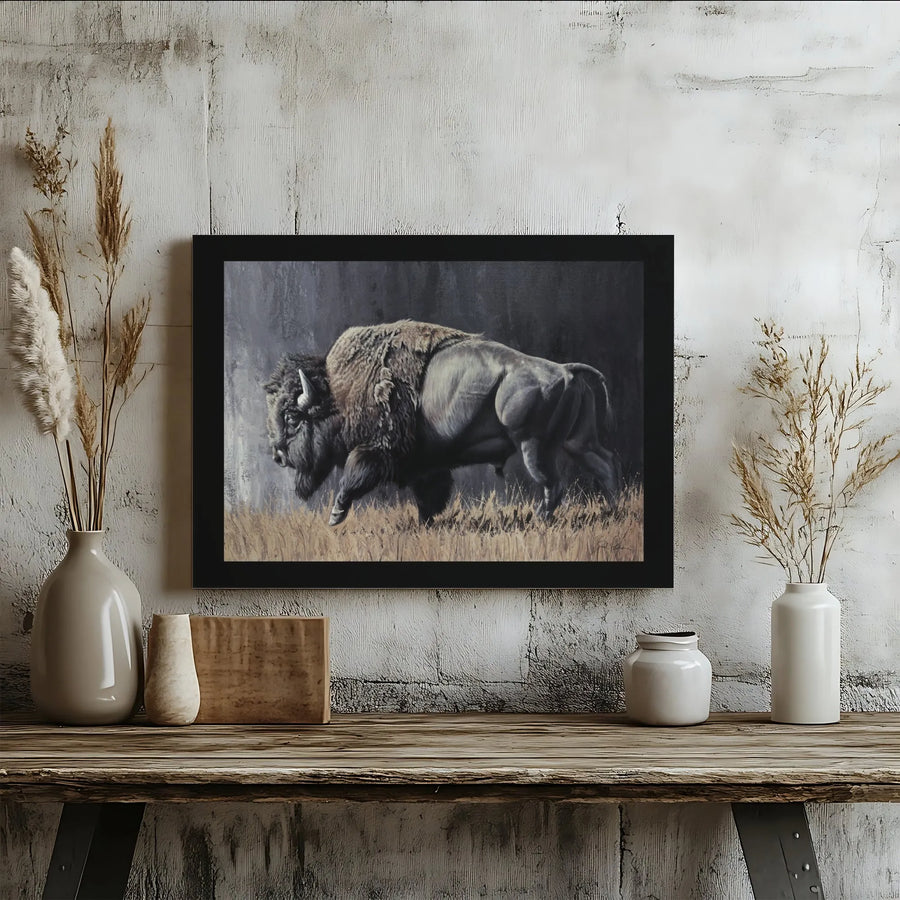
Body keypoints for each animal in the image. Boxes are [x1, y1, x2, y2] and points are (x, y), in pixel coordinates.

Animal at [265, 320, 622, 526]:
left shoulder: (378, 450)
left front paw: (335, 517)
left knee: (554, 483)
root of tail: (564, 369)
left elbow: (354, 477)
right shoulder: (425, 466)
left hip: (532, 446)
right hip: (576, 442)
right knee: (604, 465)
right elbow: (429, 495)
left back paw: (540, 521)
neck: (338, 391)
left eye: (292, 417)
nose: (277, 455)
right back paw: (614, 512)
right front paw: (427, 523)